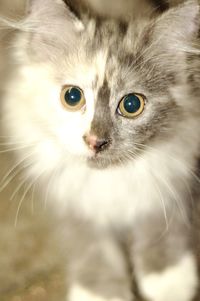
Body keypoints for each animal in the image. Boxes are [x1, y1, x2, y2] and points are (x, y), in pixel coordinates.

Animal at [0, 0, 200, 298]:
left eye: (132, 104)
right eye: (72, 96)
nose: (95, 141)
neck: (108, 178)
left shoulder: (175, 172)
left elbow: (159, 222)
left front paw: (166, 277)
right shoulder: (68, 200)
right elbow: (90, 244)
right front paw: (100, 292)